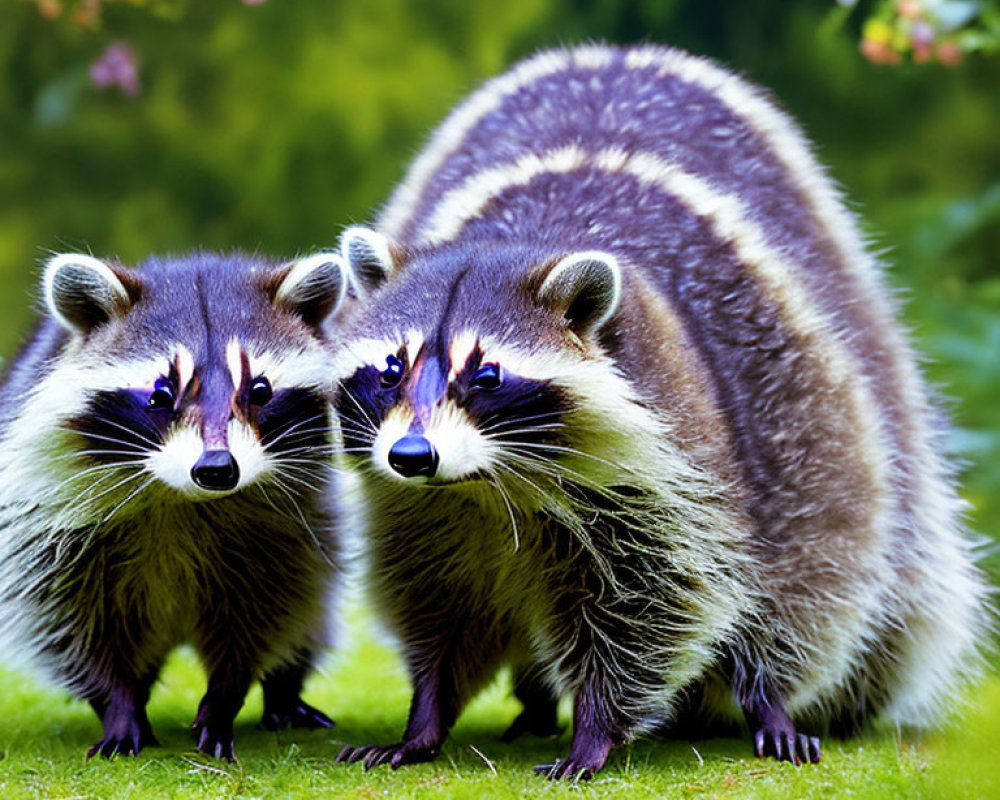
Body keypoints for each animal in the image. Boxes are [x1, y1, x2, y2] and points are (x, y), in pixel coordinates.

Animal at [0, 247, 348, 760]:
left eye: (260, 391)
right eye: (160, 394)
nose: (218, 468)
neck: (182, 496)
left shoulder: (289, 534)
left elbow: (265, 614)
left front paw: (226, 696)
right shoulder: (48, 527)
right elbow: (75, 625)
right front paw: (117, 703)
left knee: (308, 617)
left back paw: (285, 692)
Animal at [330, 40, 992, 780]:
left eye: (488, 375)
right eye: (393, 368)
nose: (412, 456)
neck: (496, 485)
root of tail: (615, 51)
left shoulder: (717, 421)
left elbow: (656, 599)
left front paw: (597, 724)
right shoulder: (422, 508)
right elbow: (438, 597)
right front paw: (429, 708)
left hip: (816, 392)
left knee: (821, 558)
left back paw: (766, 695)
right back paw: (536, 703)